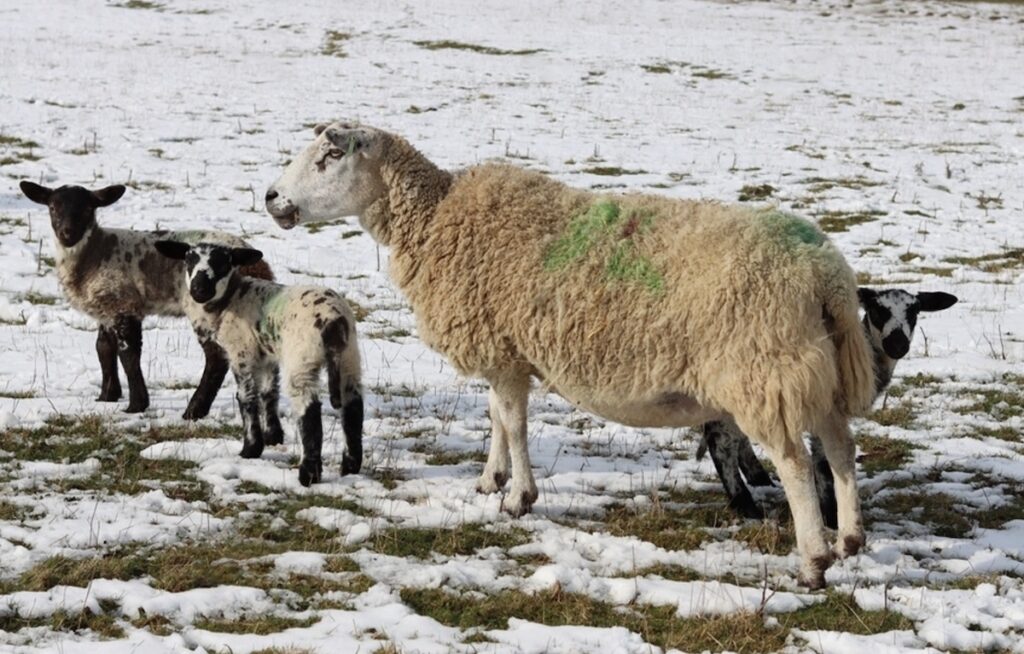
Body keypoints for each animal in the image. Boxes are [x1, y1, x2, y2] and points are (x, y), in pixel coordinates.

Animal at [18, 182, 272, 417]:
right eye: (52, 207)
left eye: (89, 208)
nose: (67, 233)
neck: (94, 253)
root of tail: (259, 266)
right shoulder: (107, 307)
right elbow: (103, 348)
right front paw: (107, 396)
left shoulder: (124, 305)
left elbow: (128, 355)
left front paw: (136, 405)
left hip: (203, 305)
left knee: (216, 357)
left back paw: (193, 411)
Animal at [149, 240, 362, 487]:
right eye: (188, 260)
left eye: (223, 263)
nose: (199, 290)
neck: (231, 299)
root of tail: (334, 320)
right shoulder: (267, 354)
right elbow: (269, 392)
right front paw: (273, 436)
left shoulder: (242, 351)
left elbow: (247, 398)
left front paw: (251, 449)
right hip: (350, 356)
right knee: (354, 406)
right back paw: (350, 467)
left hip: (303, 358)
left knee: (309, 410)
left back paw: (308, 474)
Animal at [264, 122, 880, 589]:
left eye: (330, 155)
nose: (270, 198)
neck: (435, 217)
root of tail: (826, 274)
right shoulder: (506, 350)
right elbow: (496, 417)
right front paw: (490, 481)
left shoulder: (503, 348)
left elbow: (512, 422)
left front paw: (518, 498)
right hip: (817, 365)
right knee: (840, 447)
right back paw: (850, 539)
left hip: (765, 367)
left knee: (797, 464)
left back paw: (812, 562)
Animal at [704, 288, 958, 524]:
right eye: (877, 310)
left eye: (914, 311)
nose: (897, 345)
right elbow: (824, 460)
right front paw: (830, 514)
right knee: (720, 441)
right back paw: (746, 505)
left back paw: (760, 482)